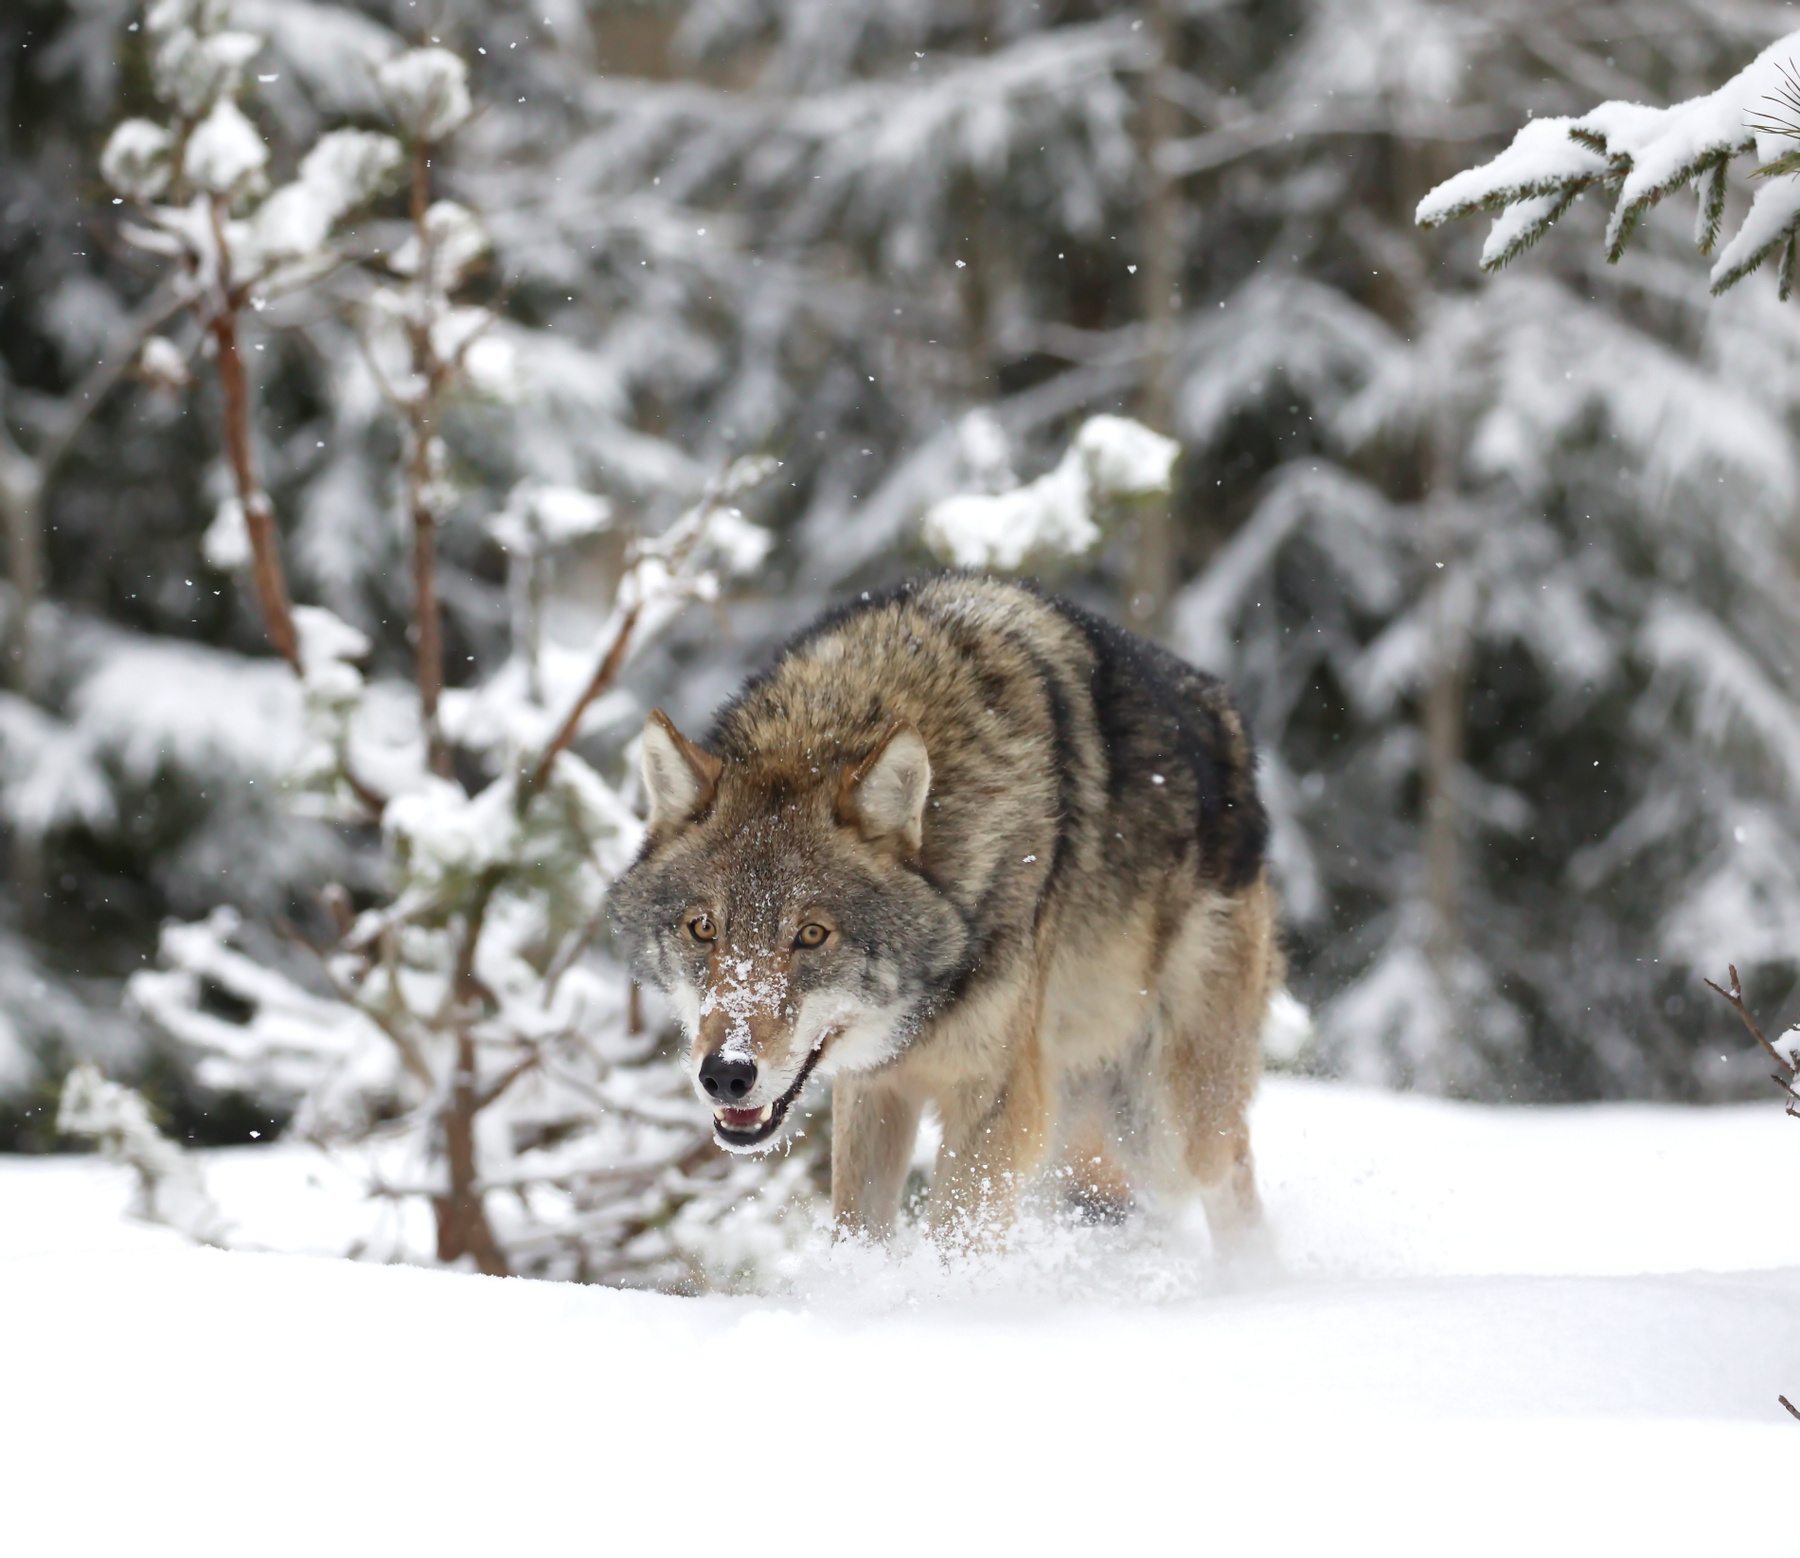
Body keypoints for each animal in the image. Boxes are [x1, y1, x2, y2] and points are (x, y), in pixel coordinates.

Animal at [608, 574, 1281, 1247]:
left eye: (812, 934)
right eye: (703, 928)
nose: (726, 1074)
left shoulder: (996, 1103)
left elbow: (956, 1241)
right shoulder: (875, 1088)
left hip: (1167, 1125)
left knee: (1235, 1179)